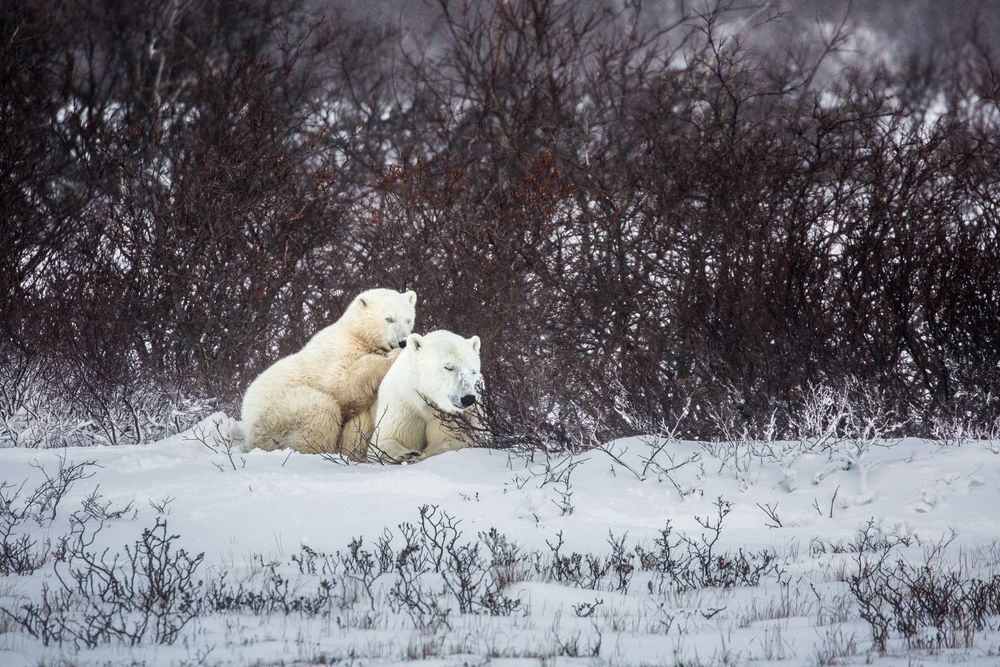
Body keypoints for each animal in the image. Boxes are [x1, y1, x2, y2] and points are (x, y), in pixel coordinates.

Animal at [240, 288, 416, 455]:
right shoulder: (337, 353)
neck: (357, 335)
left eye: (408, 319)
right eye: (389, 319)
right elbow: (343, 382)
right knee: (321, 410)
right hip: (279, 411)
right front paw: (393, 356)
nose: (403, 341)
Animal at [339, 329, 483, 463]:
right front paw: (406, 453)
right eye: (448, 367)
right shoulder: (403, 401)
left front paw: (421, 454)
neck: (426, 403)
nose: (468, 398)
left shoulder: (451, 417)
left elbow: (453, 441)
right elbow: (385, 440)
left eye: (473, 371)